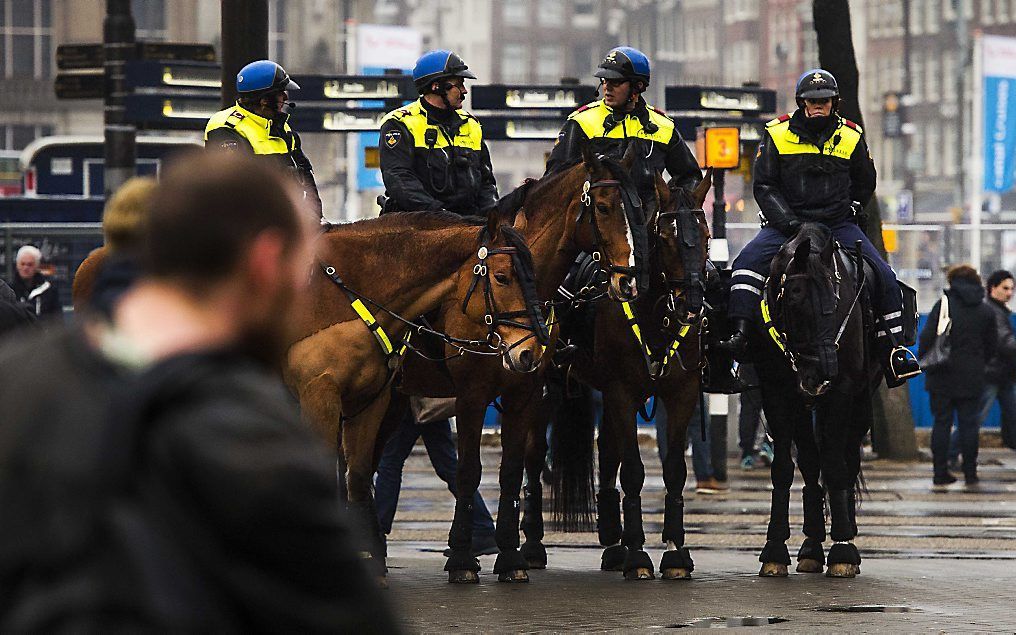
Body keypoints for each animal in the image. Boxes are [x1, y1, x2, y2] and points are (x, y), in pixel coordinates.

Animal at [392, 146, 646, 581]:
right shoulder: (472, 396)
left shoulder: (525, 392)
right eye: (603, 206)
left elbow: (511, 470)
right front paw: (463, 558)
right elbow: (468, 470)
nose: (628, 281)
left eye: (638, 208)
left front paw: (510, 556)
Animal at [544, 169, 711, 581]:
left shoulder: (680, 394)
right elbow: (633, 471)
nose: (692, 304)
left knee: (608, 451)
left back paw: (612, 541)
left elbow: (674, 471)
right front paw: (638, 553)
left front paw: (675, 550)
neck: (655, 312)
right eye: (665, 237)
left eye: (705, 236)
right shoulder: (622, 392)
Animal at [751, 222, 885, 581]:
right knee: (812, 463)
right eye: (795, 299)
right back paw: (811, 545)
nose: (822, 372)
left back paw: (845, 531)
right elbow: (784, 468)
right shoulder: (777, 392)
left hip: (861, 403)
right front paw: (775, 549)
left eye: (838, 302)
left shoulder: (843, 392)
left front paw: (842, 549)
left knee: (847, 459)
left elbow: (837, 466)